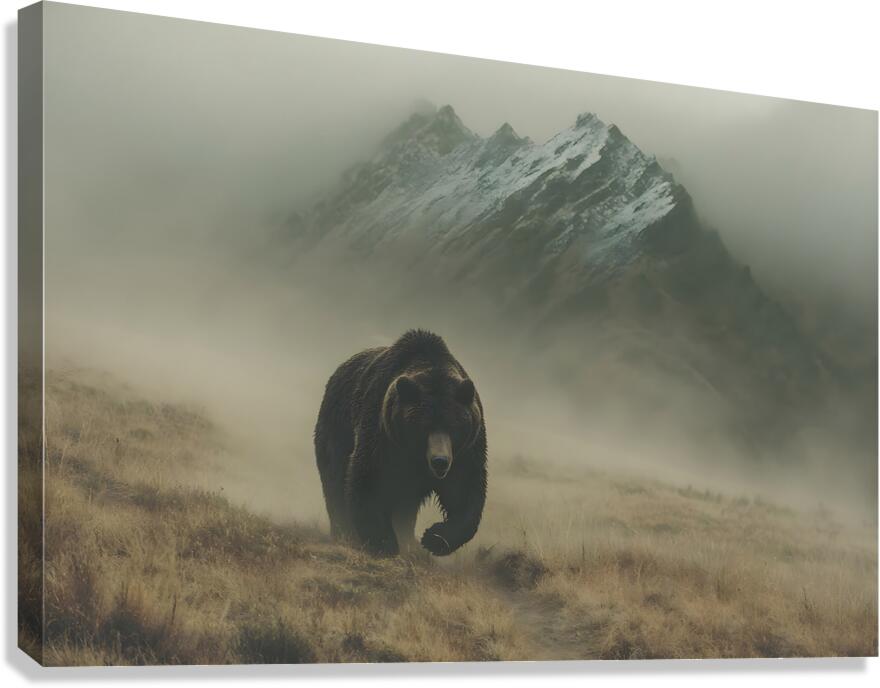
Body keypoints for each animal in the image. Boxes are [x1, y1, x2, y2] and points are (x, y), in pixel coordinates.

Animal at [314, 329, 487, 557]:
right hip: (337, 428)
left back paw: (408, 540)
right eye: (423, 427)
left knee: (407, 506)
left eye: (454, 427)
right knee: (334, 479)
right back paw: (345, 534)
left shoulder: (466, 449)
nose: (440, 461)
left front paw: (434, 538)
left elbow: (466, 490)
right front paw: (384, 541)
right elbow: (369, 478)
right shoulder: (381, 431)